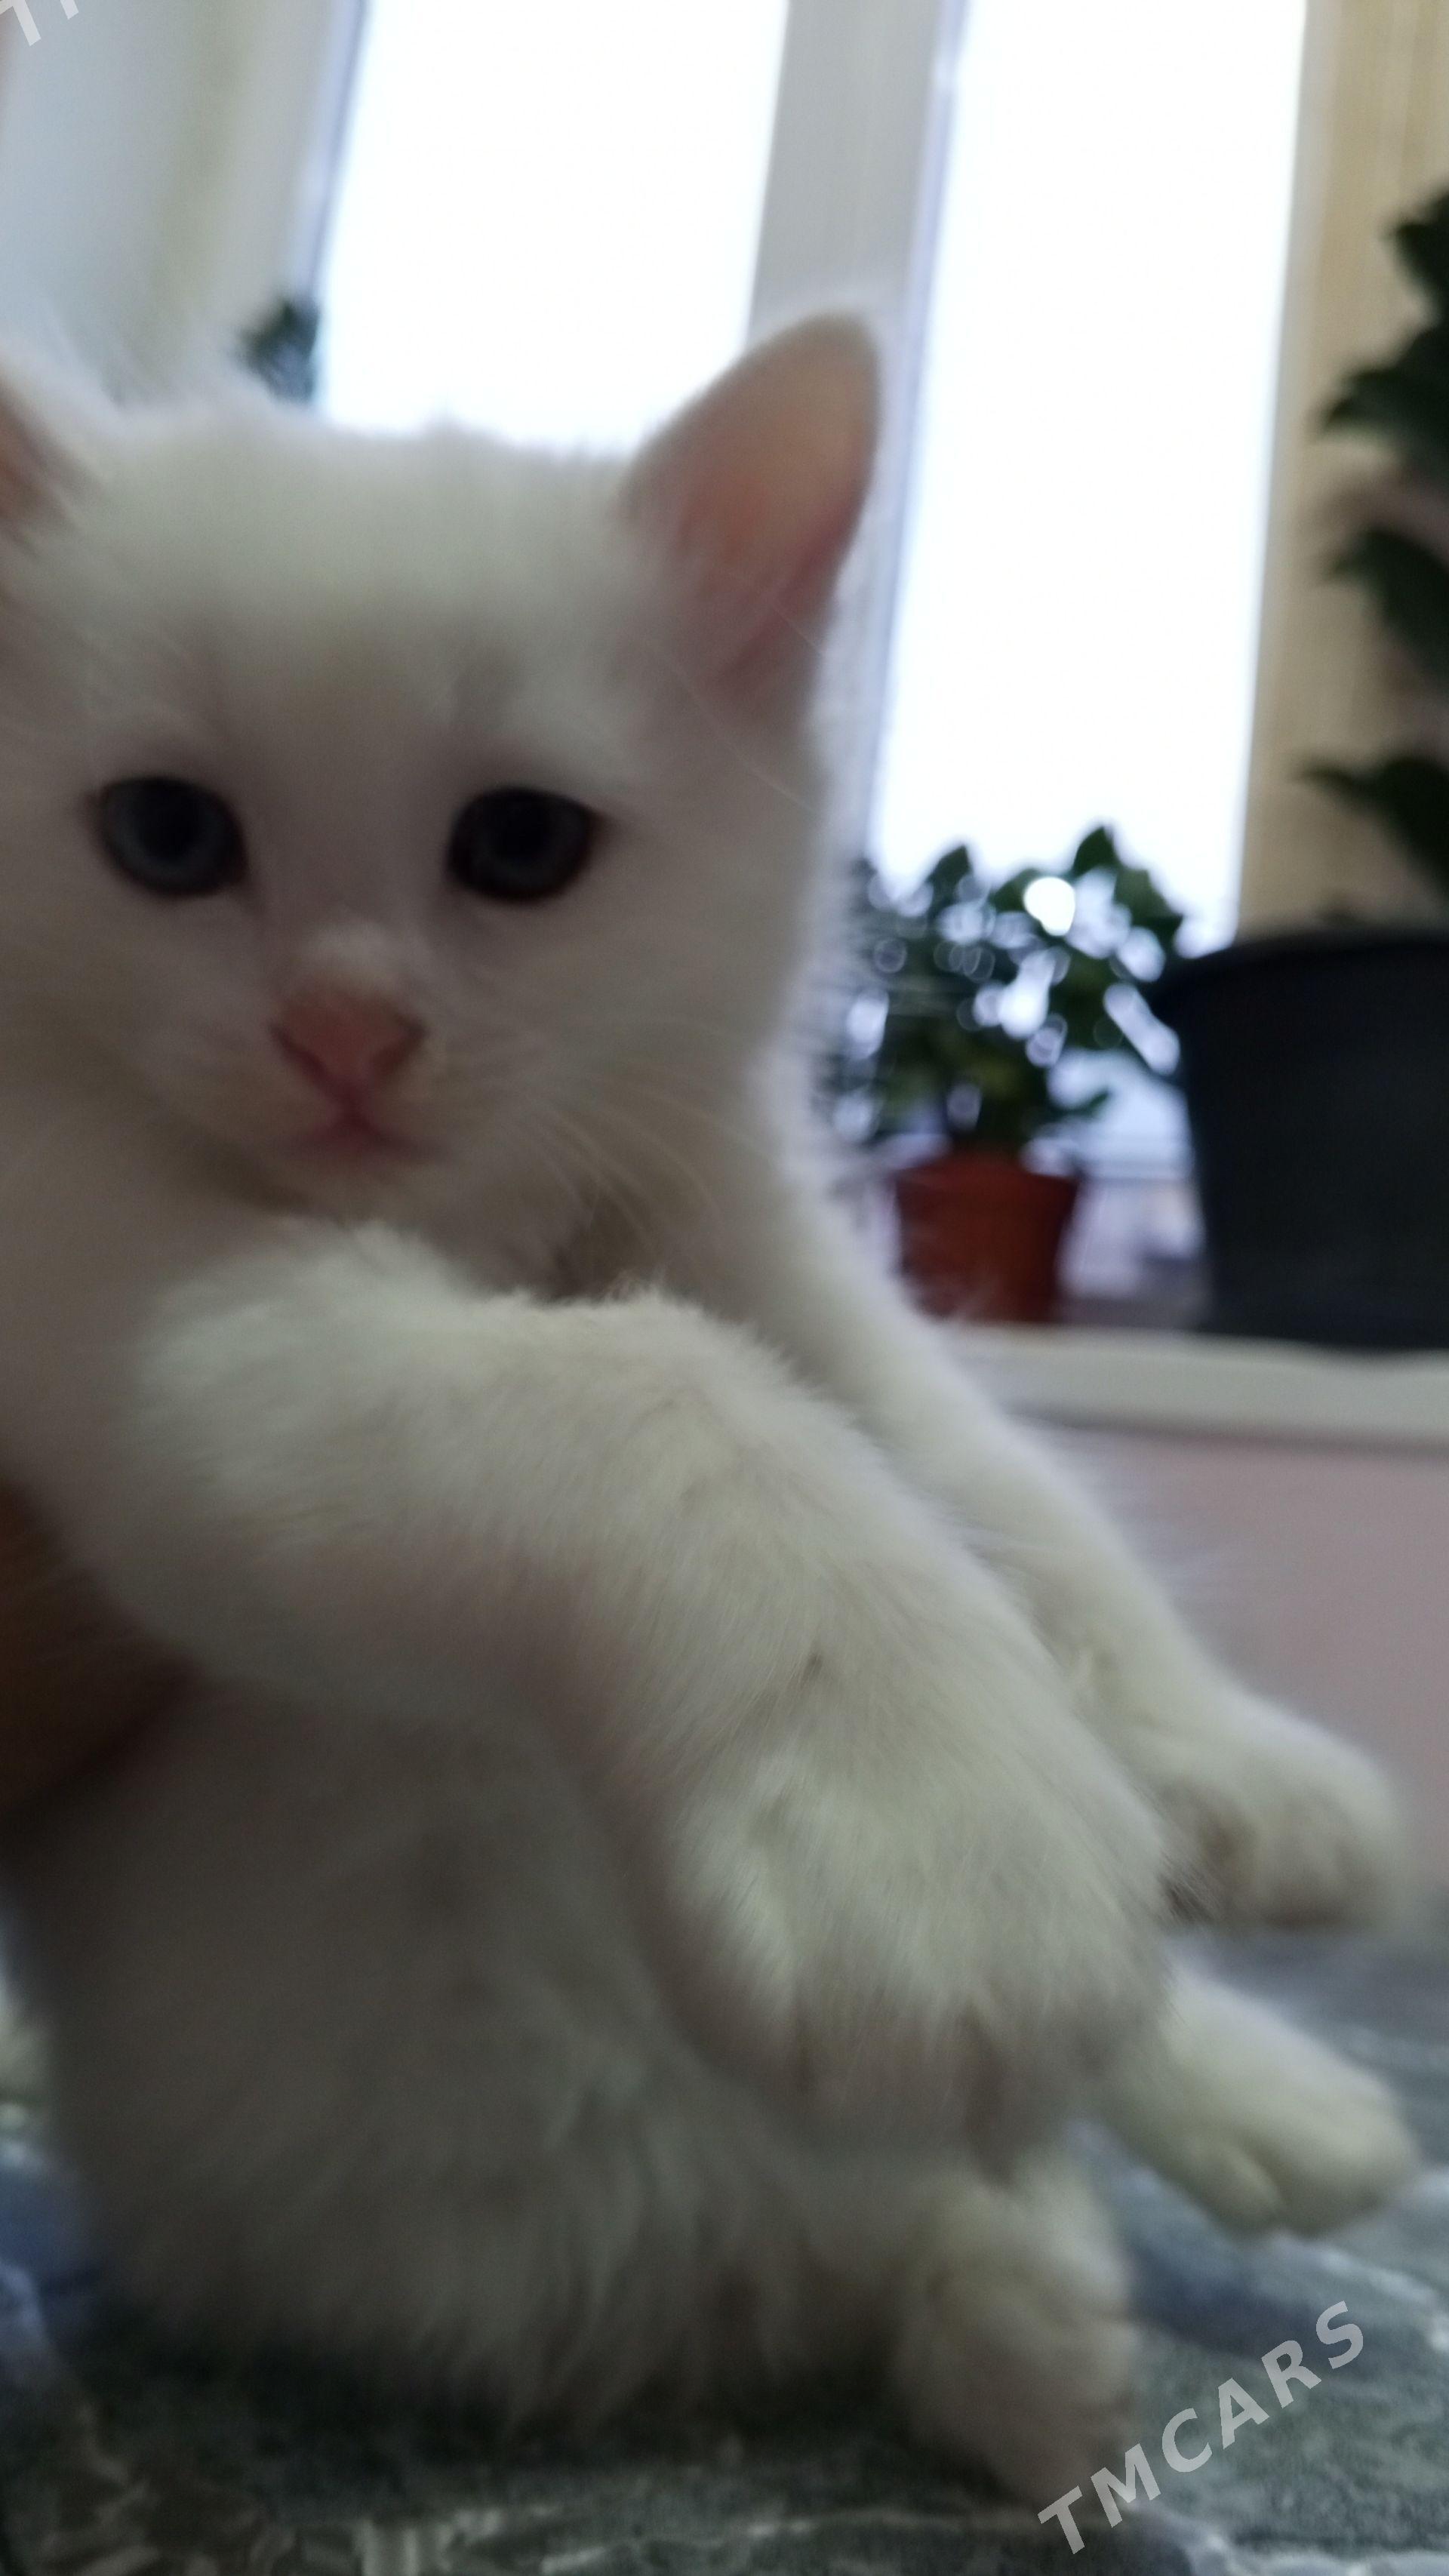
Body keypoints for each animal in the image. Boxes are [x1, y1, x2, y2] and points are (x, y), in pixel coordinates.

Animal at [0, 321, 1416, 2505]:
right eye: (162, 836)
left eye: (521, 847)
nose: (343, 1033)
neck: (481, 1220)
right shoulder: (166, 1331)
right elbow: (659, 1395)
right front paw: (937, 1819)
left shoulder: (785, 1260)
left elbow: (1012, 1502)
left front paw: (1233, 1764)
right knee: (977, 2176)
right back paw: (1029, 2302)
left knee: (1049, 2106)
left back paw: (1247, 2118)